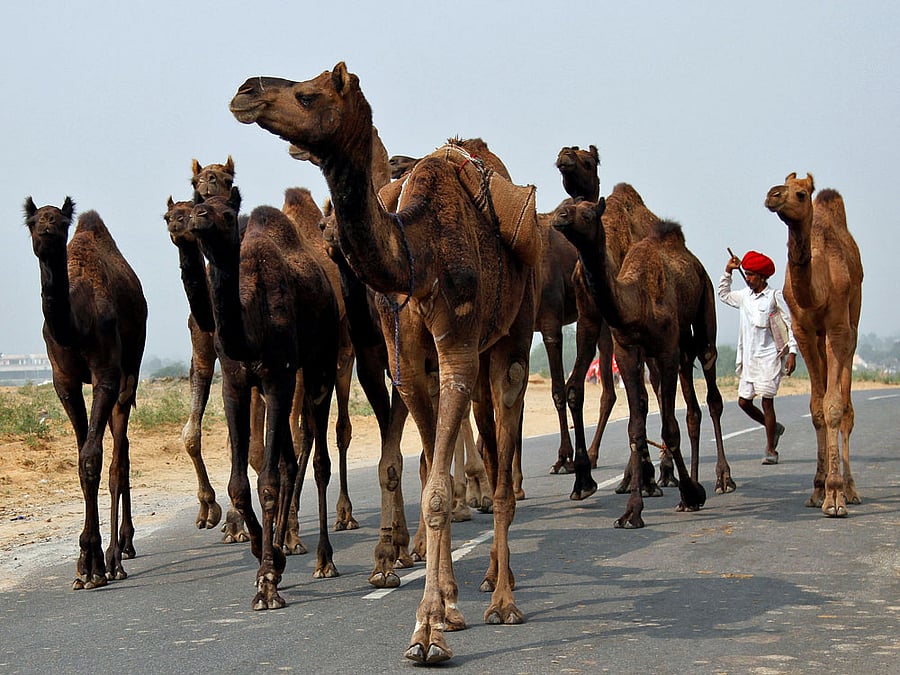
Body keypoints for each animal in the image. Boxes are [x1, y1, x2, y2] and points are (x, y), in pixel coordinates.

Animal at [24, 197, 147, 589]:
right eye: (33, 221)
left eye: (60, 221)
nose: (47, 231)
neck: (76, 324)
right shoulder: (63, 380)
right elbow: (81, 458)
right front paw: (85, 563)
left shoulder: (106, 373)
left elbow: (92, 459)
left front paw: (94, 563)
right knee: (120, 450)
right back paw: (123, 546)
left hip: (130, 369)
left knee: (119, 457)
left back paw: (116, 555)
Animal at [188, 187, 340, 609]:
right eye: (199, 207)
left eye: (228, 213)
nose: (198, 217)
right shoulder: (235, 386)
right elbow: (240, 484)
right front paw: (263, 554)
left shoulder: (278, 380)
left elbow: (268, 483)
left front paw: (267, 581)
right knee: (289, 460)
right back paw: (284, 547)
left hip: (320, 365)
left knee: (318, 460)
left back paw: (323, 559)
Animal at [230, 62, 539, 664]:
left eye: (309, 94)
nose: (245, 90)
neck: (417, 253)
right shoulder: (404, 361)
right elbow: (421, 471)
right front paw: (442, 606)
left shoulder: (457, 351)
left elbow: (437, 484)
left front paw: (426, 631)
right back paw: (480, 582)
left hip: (510, 341)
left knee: (503, 446)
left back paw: (504, 598)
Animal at [552, 199, 729, 528]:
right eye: (564, 206)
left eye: (587, 213)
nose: (560, 216)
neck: (637, 304)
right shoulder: (627, 351)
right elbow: (635, 428)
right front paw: (632, 511)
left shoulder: (665, 352)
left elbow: (669, 428)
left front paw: (691, 493)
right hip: (682, 344)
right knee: (693, 409)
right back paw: (694, 483)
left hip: (705, 303)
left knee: (711, 388)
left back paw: (723, 480)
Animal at [765, 172, 863, 517]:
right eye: (781, 185)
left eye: (801, 193)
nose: (773, 194)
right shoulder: (804, 331)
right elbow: (817, 408)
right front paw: (819, 490)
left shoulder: (838, 329)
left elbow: (834, 407)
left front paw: (835, 497)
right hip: (819, 339)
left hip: (853, 321)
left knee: (847, 408)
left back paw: (851, 489)